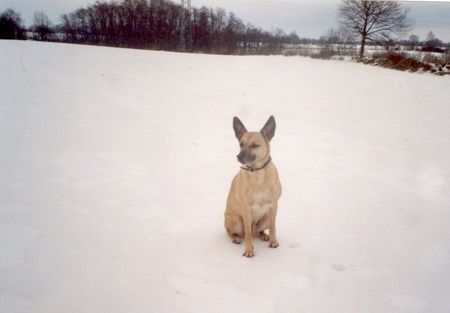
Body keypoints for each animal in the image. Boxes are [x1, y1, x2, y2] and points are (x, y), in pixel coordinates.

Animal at [224, 114, 284, 256]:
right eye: (241, 144)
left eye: (255, 145)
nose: (239, 156)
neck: (257, 174)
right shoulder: (246, 209)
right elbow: (247, 235)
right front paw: (249, 250)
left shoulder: (274, 206)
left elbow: (273, 227)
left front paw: (273, 242)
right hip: (235, 220)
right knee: (235, 232)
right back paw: (235, 238)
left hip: (266, 217)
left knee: (258, 231)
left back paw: (263, 235)